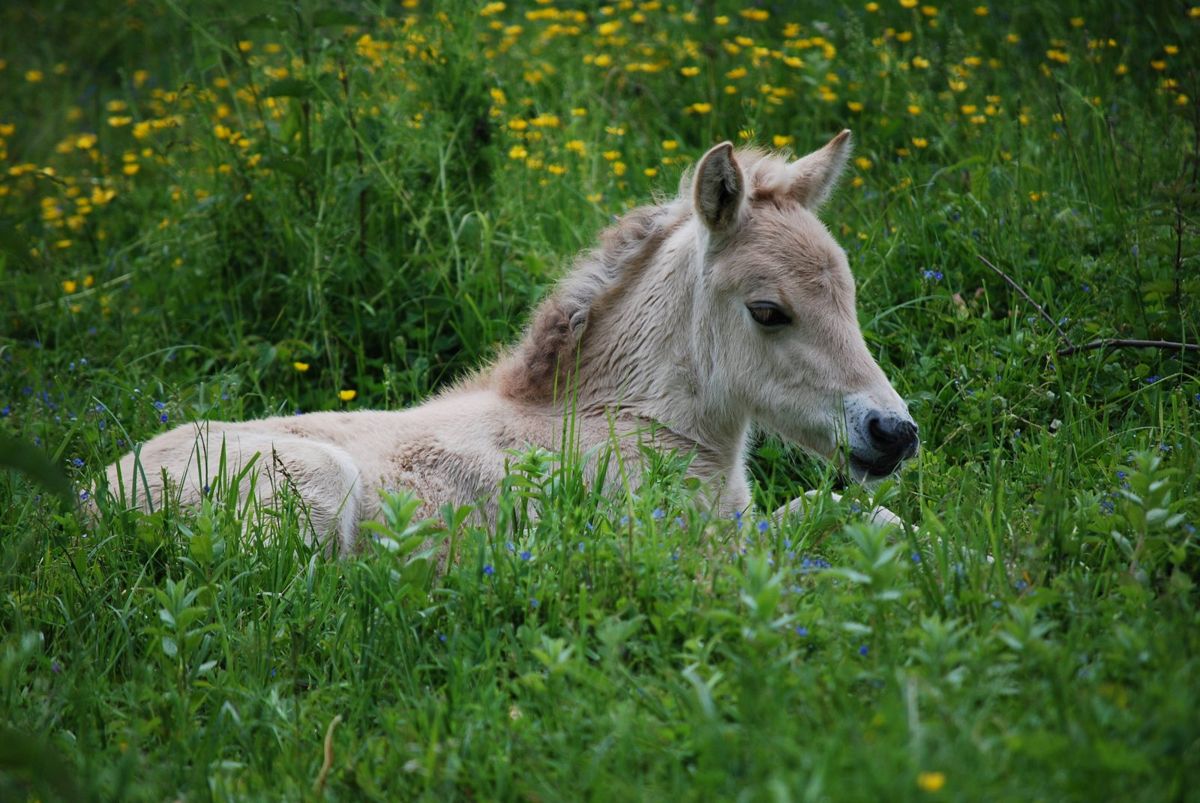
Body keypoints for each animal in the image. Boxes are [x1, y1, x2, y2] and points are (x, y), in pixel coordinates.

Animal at [100, 131, 919, 554]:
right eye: (768, 310)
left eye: (848, 295)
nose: (894, 433)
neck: (629, 421)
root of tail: (89, 500)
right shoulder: (679, 550)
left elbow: (862, 514)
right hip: (316, 496)